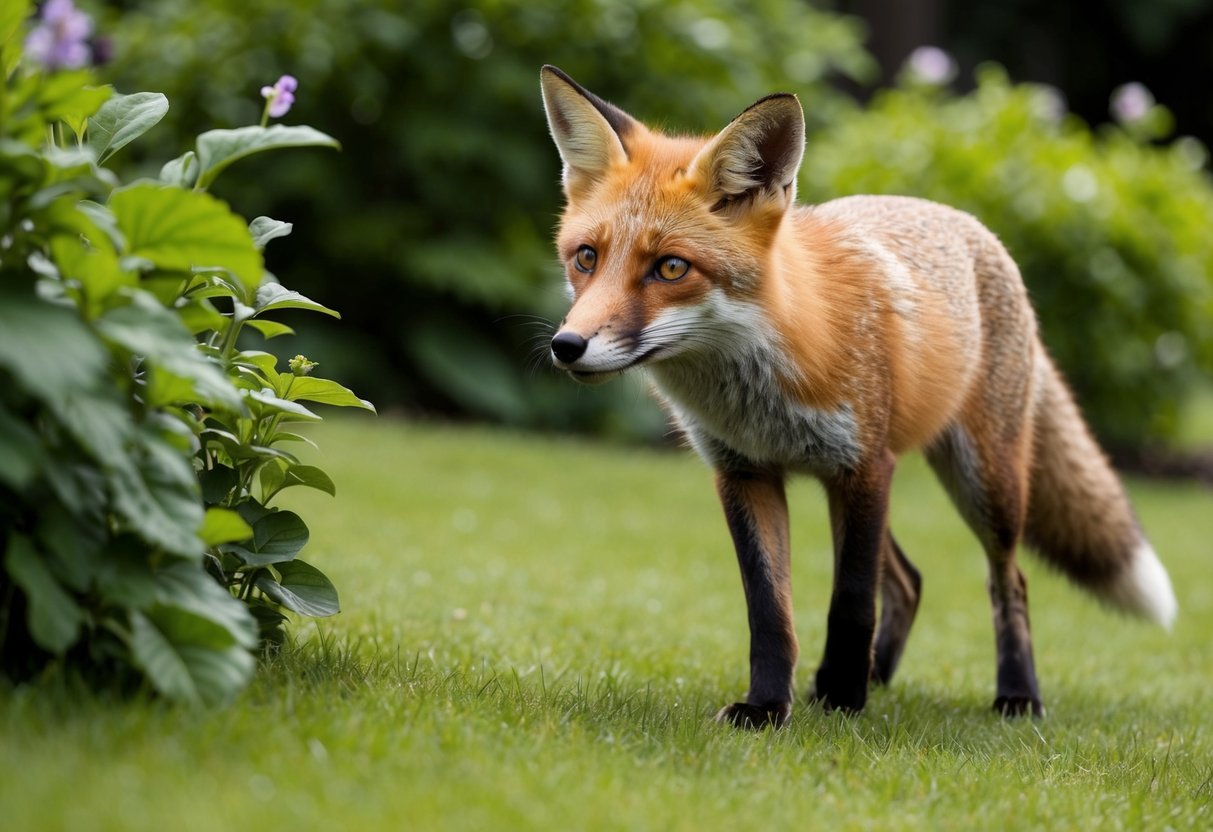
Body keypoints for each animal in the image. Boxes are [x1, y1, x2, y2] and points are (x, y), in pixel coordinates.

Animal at [538, 65, 1178, 728]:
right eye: (586, 257)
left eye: (670, 268)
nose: (568, 345)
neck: (761, 387)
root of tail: (975, 228)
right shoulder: (745, 473)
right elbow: (770, 611)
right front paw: (769, 707)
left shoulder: (862, 466)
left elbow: (850, 601)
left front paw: (843, 702)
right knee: (909, 580)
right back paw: (876, 675)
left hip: (983, 483)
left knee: (1009, 581)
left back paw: (1015, 695)